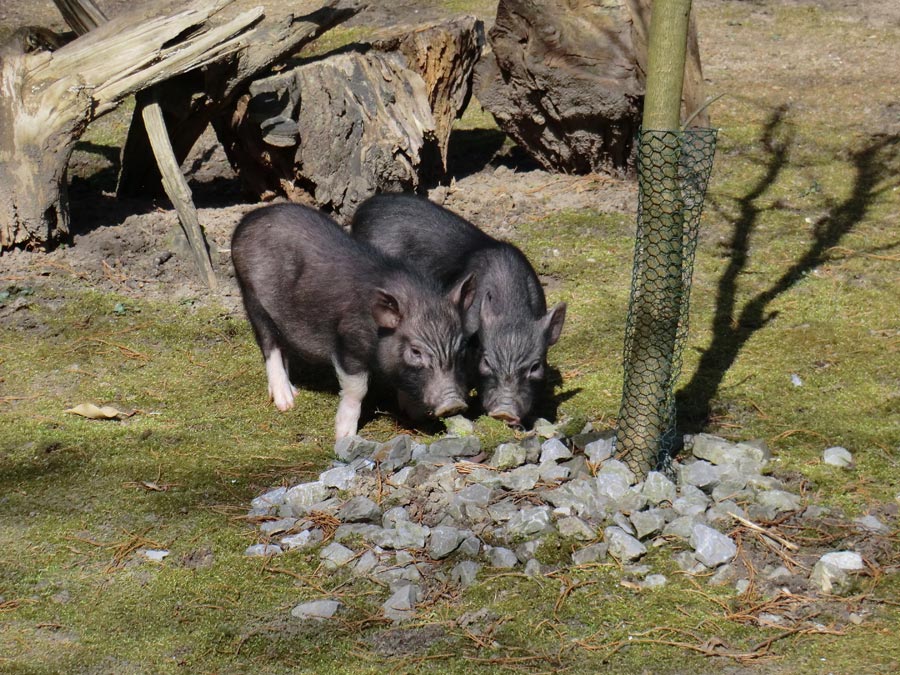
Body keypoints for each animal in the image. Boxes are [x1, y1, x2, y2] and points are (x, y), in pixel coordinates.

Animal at [232, 203, 478, 440]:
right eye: (415, 352)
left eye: (461, 348)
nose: (453, 404)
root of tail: (248, 219)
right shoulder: (348, 341)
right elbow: (356, 389)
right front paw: (344, 436)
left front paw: (416, 415)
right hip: (252, 296)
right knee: (269, 344)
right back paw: (287, 403)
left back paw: (294, 392)